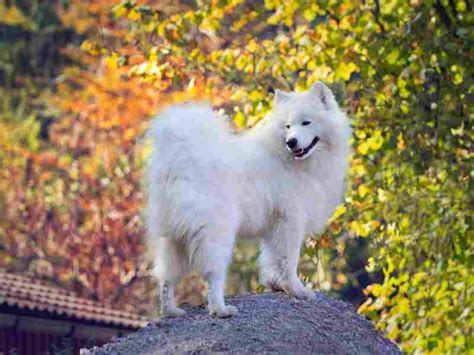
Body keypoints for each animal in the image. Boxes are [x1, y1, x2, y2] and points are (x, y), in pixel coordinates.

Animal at [146, 82, 350, 318]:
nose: (291, 142)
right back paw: (221, 310)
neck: (288, 159)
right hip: (216, 233)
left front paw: (276, 284)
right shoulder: (290, 221)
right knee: (212, 274)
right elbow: (289, 261)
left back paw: (171, 311)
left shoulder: (274, 226)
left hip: (173, 238)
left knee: (166, 278)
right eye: (288, 126)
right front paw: (296, 290)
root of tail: (177, 159)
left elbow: (272, 259)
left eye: (306, 122)